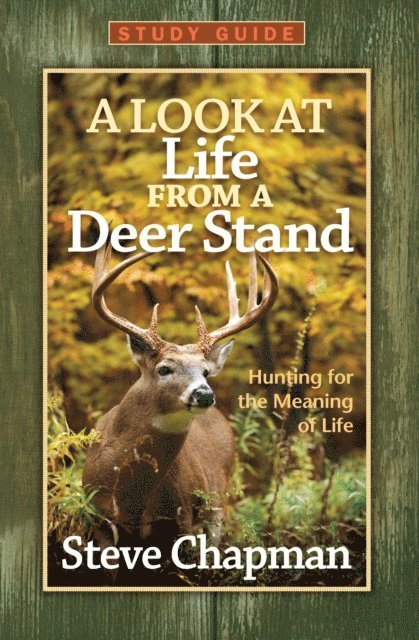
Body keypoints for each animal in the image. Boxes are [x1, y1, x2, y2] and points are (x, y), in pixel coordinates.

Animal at [82, 243, 278, 577]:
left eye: (206, 371)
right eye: (164, 368)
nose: (204, 394)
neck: (132, 494)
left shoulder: (180, 518)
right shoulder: (98, 522)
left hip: (218, 502)